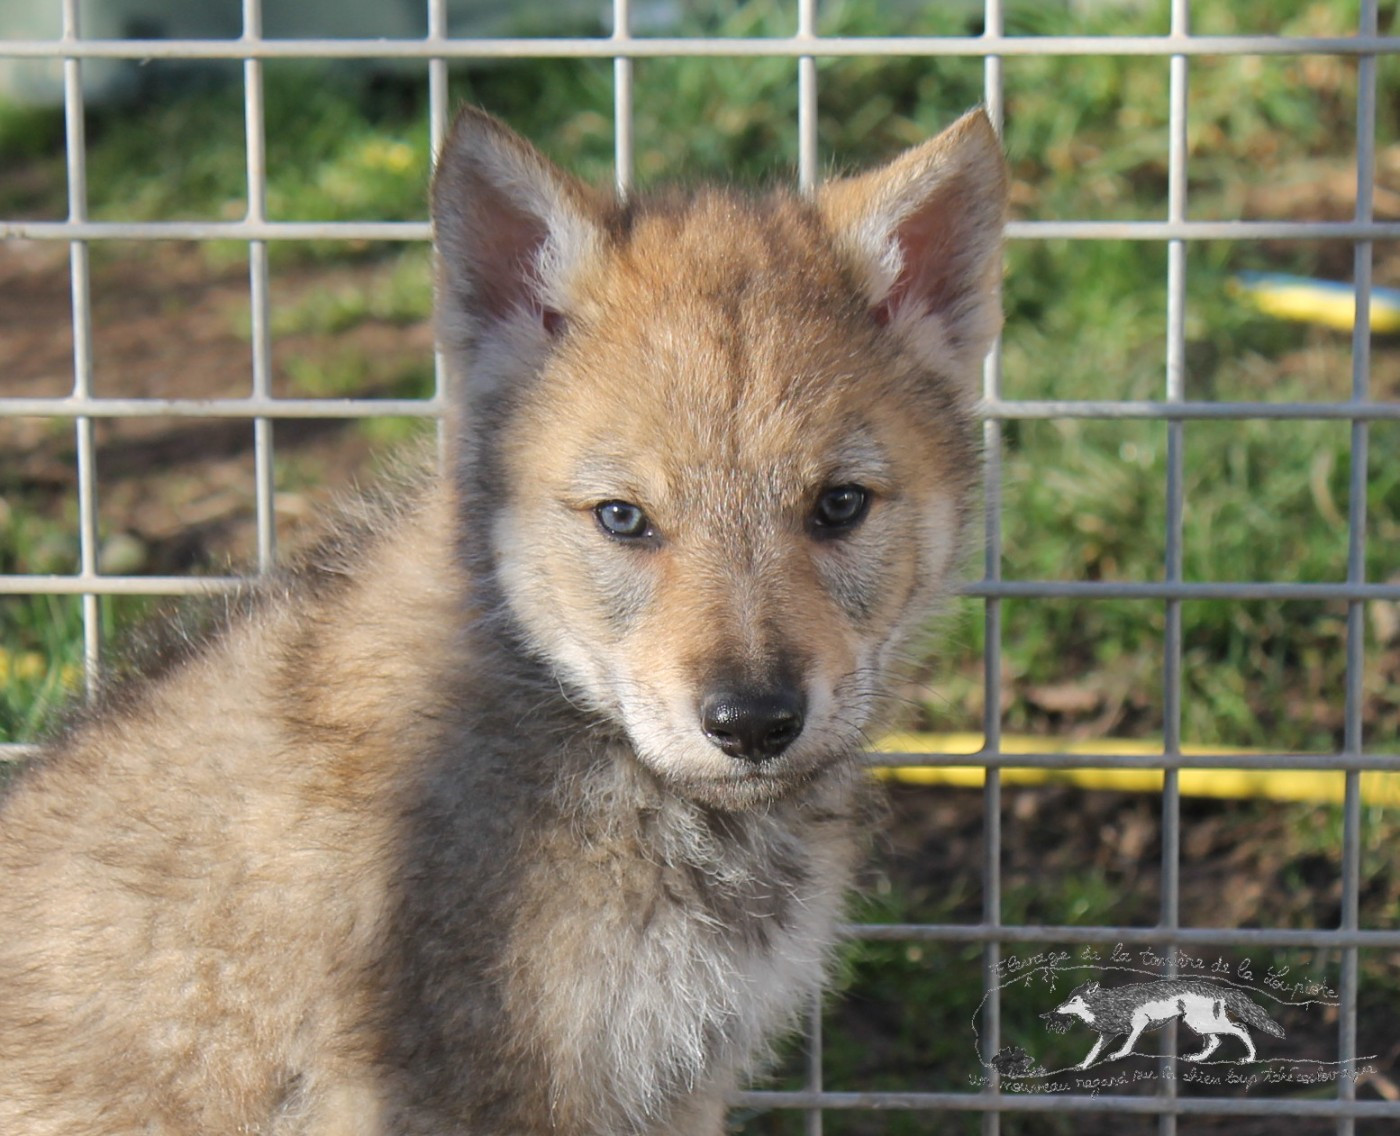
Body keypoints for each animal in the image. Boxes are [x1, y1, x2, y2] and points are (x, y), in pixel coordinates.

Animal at [1045, 978, 1286, 1069]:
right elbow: (1093, 1051)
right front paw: (1082, 1065)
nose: (1056, 1010)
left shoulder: (1139, 1023)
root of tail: (1220, 989)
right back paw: (1196, 1058)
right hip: (1199, 1024)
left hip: (1199, 1023)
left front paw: (1118, 1055)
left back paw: (1249, 1058)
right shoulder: (1107, 1034)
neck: (1106, 1004)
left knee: (1240, 1029)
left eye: (1073, 1000)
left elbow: (1128, 1045)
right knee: (1215, 1042)